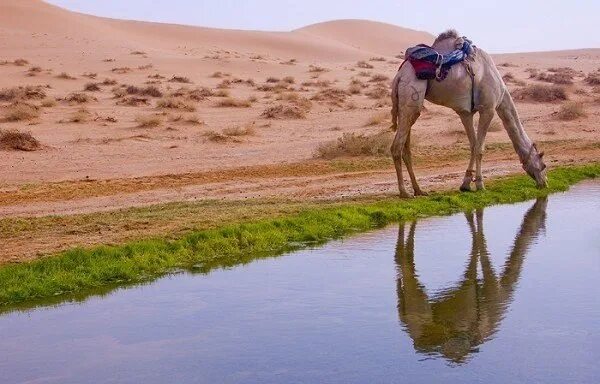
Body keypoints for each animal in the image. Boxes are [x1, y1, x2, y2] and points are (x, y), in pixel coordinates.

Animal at [390, 30, 548, 196]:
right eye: (543, 165)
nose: (544, 183)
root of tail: (399, 76)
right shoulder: (488, 109)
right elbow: (479, 148)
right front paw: (480, 184)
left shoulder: (465, 113)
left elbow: (473, 145)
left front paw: (465, 184)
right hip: (412, 92)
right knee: (396, 147)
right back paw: (404, 192)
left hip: (405, 106)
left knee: (406, 146)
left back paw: (418, 190)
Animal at [394, 198, 548, 364]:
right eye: (542, 217)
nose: (543, 192)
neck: (502, 296)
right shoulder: (485, 291)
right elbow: (478, 241)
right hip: (420, 310)